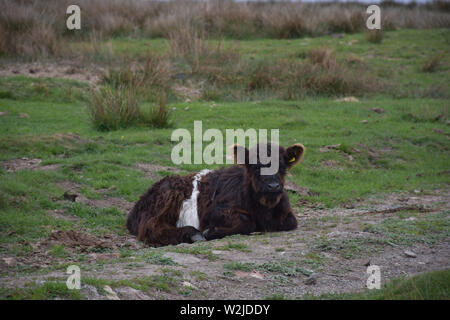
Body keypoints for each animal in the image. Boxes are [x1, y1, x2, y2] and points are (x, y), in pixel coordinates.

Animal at [125, 144, 304, 246]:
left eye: (283, 167)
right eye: (255, 166)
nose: (273, 186)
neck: (263, 209)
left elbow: (290, 221)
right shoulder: (214, 211)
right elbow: (247, 221)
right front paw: (211, 232)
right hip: (169, 192)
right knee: (150, 228)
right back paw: (193, 233)